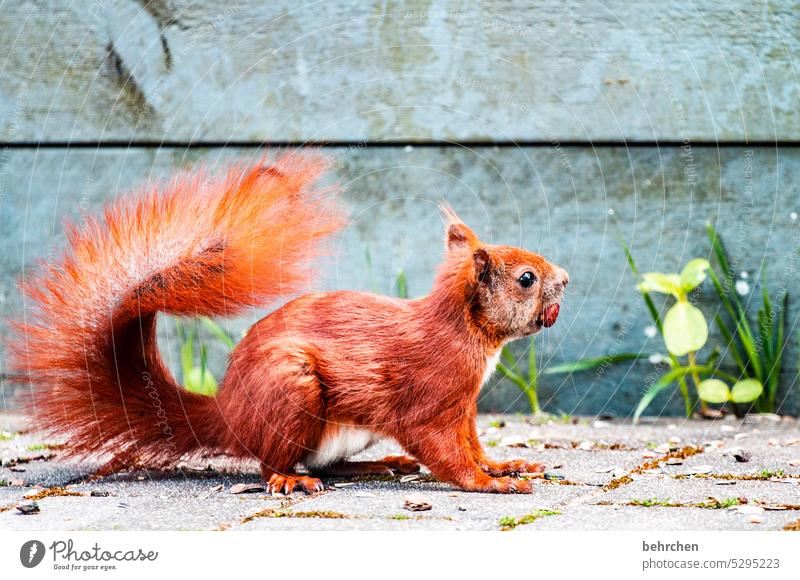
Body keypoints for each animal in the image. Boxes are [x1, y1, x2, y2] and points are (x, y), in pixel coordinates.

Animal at [7, 153, 568, 494]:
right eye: (526, 279)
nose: (565, 278)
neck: (464, 331)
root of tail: (229, 414)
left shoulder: (465, 406)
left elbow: (472, 443)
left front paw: (504, 465)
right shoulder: (431, 400)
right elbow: (446, 451)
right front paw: (490, 482)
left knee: (324, 461)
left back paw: (376, 464)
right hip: (291, 388)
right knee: (274, 462)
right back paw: (290, 479)